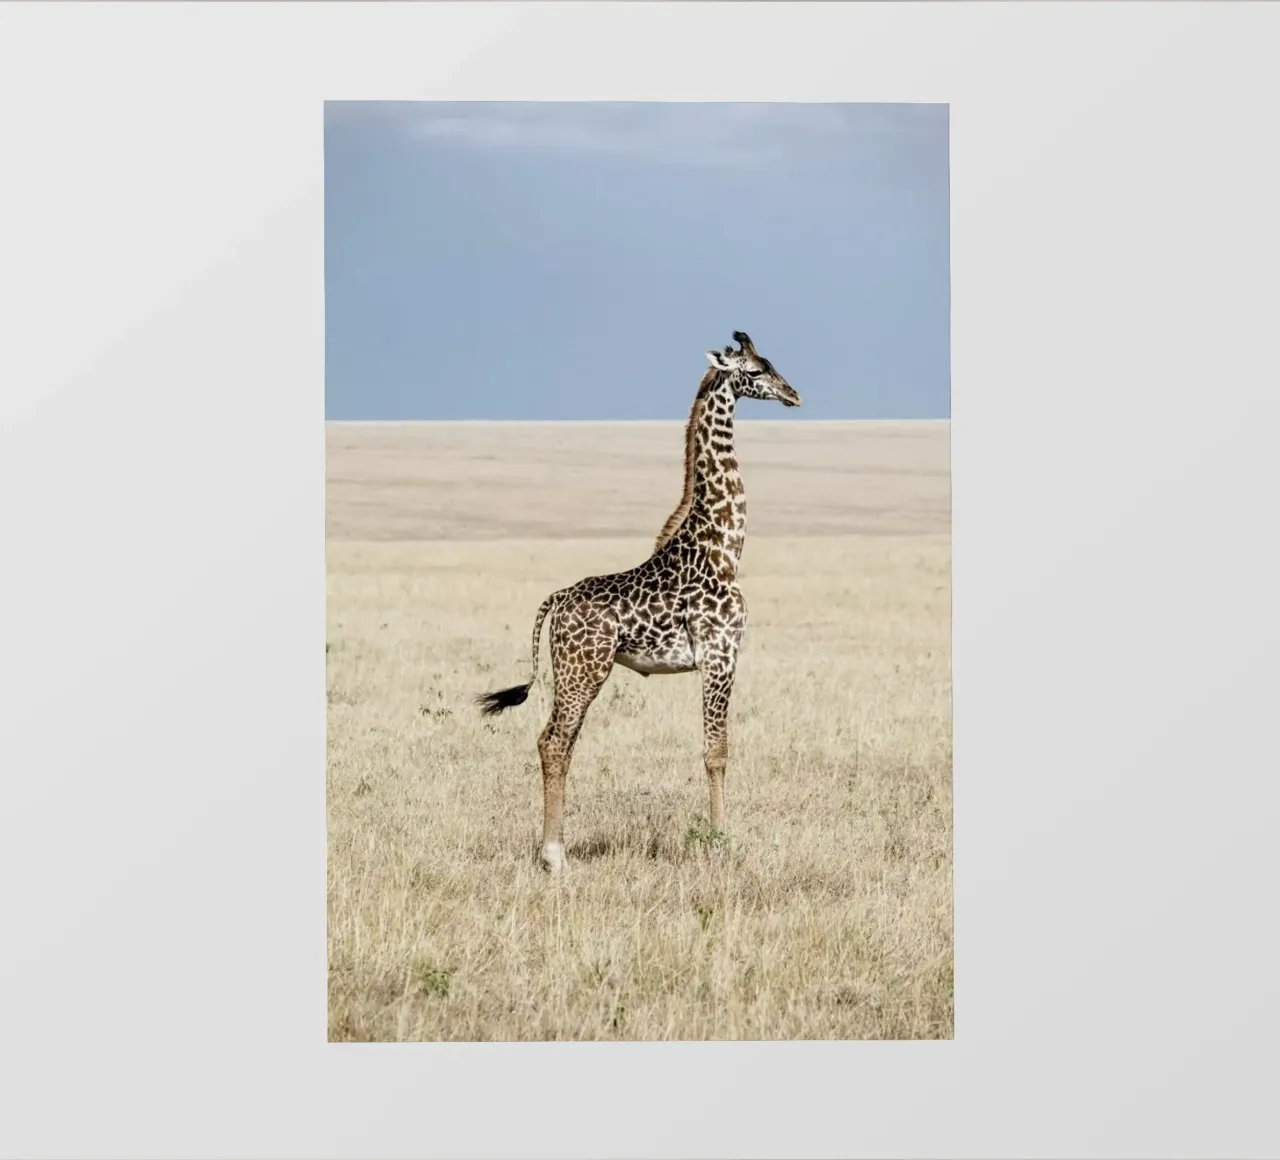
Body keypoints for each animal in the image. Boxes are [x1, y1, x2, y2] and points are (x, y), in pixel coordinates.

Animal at [476, 331, 801, 873]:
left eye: (772, 364)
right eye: (755, 372)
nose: (793, 395)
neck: (723, 548)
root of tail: (556, 600)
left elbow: (715, 749)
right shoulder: (720, 655)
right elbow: (716, 751)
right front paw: (719, 842)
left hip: (575, 672)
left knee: (556, 743)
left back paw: (555, 850)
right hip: (583, 670)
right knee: (554, 742)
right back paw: (553, 856)